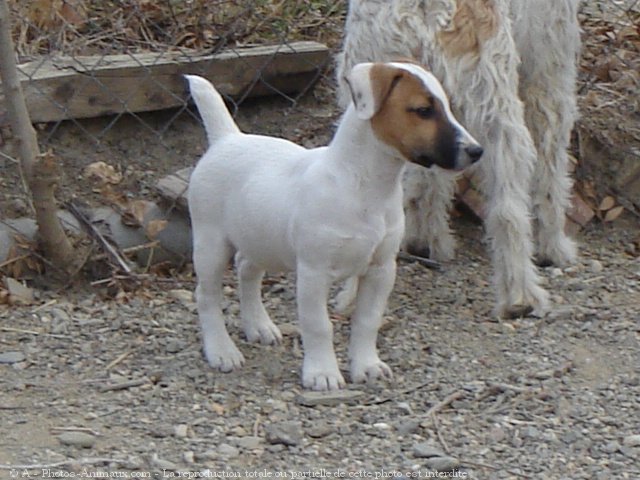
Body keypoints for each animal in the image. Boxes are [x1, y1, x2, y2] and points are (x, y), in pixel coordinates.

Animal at [186, 61, 484, 390]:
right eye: (423, 110)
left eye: (448, 107)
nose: (477, 151)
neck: (367, 188)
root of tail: (227, 138)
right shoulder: (314, 273)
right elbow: (318, 325)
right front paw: (322, 373)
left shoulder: (381, 270)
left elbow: (367, 321)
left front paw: (367, 365)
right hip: (211, 244)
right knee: (207, 296)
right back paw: (221, 350)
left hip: (260, 238)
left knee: (246, 271)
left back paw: (259, 326)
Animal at [338, 0, 584, 318]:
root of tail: (422, 8)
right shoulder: (548, 83)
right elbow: (551, 178)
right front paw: (554, 247)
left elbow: (425, 183)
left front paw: (426, 241)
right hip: (499, 117)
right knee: (508, 212)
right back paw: (521, 296)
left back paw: (354, 300)